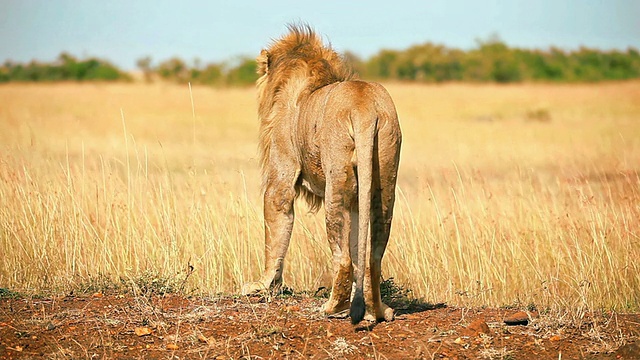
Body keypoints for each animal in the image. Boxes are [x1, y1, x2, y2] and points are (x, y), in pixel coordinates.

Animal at [242, 23, 402, 324]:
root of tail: (365, 108)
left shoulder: (282, 173)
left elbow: (275, 230)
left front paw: (263, 285)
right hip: (384, 172)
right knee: (371, 255)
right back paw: (378, 310)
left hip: (335, 179)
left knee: (343, 258)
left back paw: (332, 308)